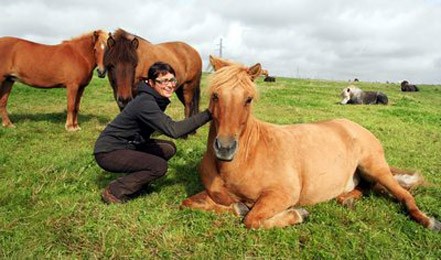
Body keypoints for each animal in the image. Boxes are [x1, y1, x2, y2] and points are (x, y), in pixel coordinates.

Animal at [180, 54, 440, 230]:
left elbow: (252, 219)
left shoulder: (283, 194)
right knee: (366, 188)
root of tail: (355, 126)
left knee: (404, 195)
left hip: (375, 167)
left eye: (249, 99)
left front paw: (298, 214)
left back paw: (428, 221)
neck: (245, 158)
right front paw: (237, 206)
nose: (225, 148)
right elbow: (189, 202)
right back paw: (346, 199)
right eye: (215, 95)